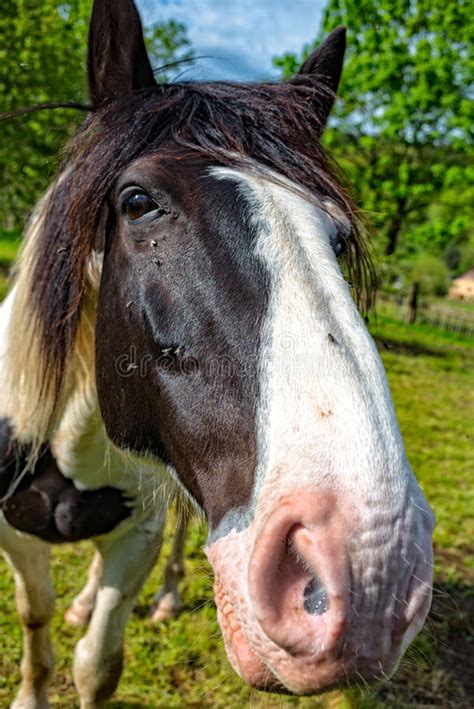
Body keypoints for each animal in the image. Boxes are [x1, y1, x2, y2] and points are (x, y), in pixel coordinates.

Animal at [0, 0, 436, 704]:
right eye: (137, 202)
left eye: (338, 239)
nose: (373, 575)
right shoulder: (14, 532)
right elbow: (34, 618)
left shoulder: (140, 533)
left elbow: (97, 663)